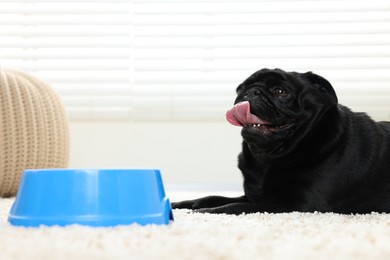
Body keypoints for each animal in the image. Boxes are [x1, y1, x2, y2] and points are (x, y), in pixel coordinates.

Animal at [172, 68, 390, 214]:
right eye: (241, 89)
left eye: (280, 92)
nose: (252, 92)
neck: (268, 159)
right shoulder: (254, 195)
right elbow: (213, 197)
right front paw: (181, 204)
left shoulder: (295, 204)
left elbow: (235, 206)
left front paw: (204, 212)